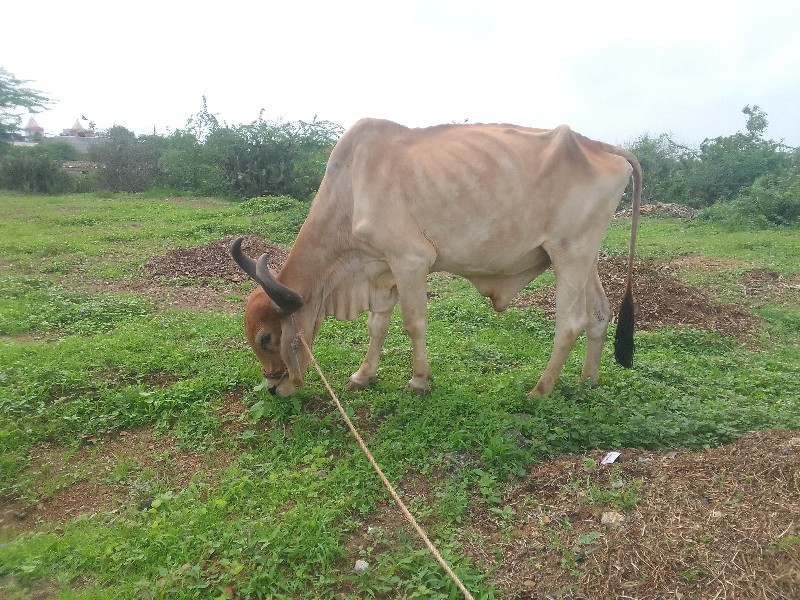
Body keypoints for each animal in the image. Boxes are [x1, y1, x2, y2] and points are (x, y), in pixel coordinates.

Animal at [228, 117, 640, 398]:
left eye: (266, 338)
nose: (273, 388)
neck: (351, 187)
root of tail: (601, 146)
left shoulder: (410, 261)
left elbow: (414, 323)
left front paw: (419, 380)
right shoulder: (383, 268)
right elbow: (377, 325)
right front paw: (363, 375)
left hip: (569, 255)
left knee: (570, 323)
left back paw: (540, 390)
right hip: (583, 257)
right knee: (599, 314)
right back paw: (588, 381)